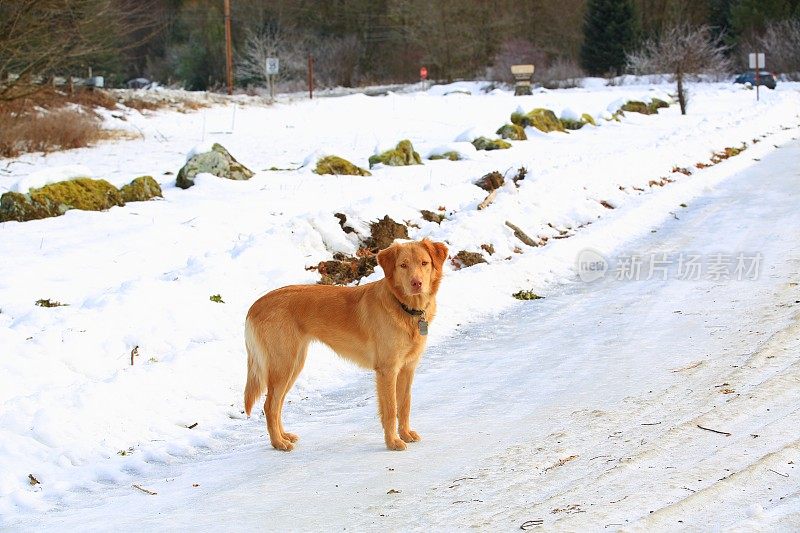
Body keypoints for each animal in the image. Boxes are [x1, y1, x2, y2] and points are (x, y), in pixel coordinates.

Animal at [244, 237, 446, 448]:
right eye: (403, 265)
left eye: (424, 263)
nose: (417, 283)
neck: (404, 307)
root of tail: (255, 305)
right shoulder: (387, 370)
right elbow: (391, 410)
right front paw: (392, 442)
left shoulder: (408, 368)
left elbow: (405, 405)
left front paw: (405, 434)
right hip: (283, 365)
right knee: (270, 405)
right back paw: (278, 442)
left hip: (294, 364)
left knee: (278, 404)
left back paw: (284, 436)